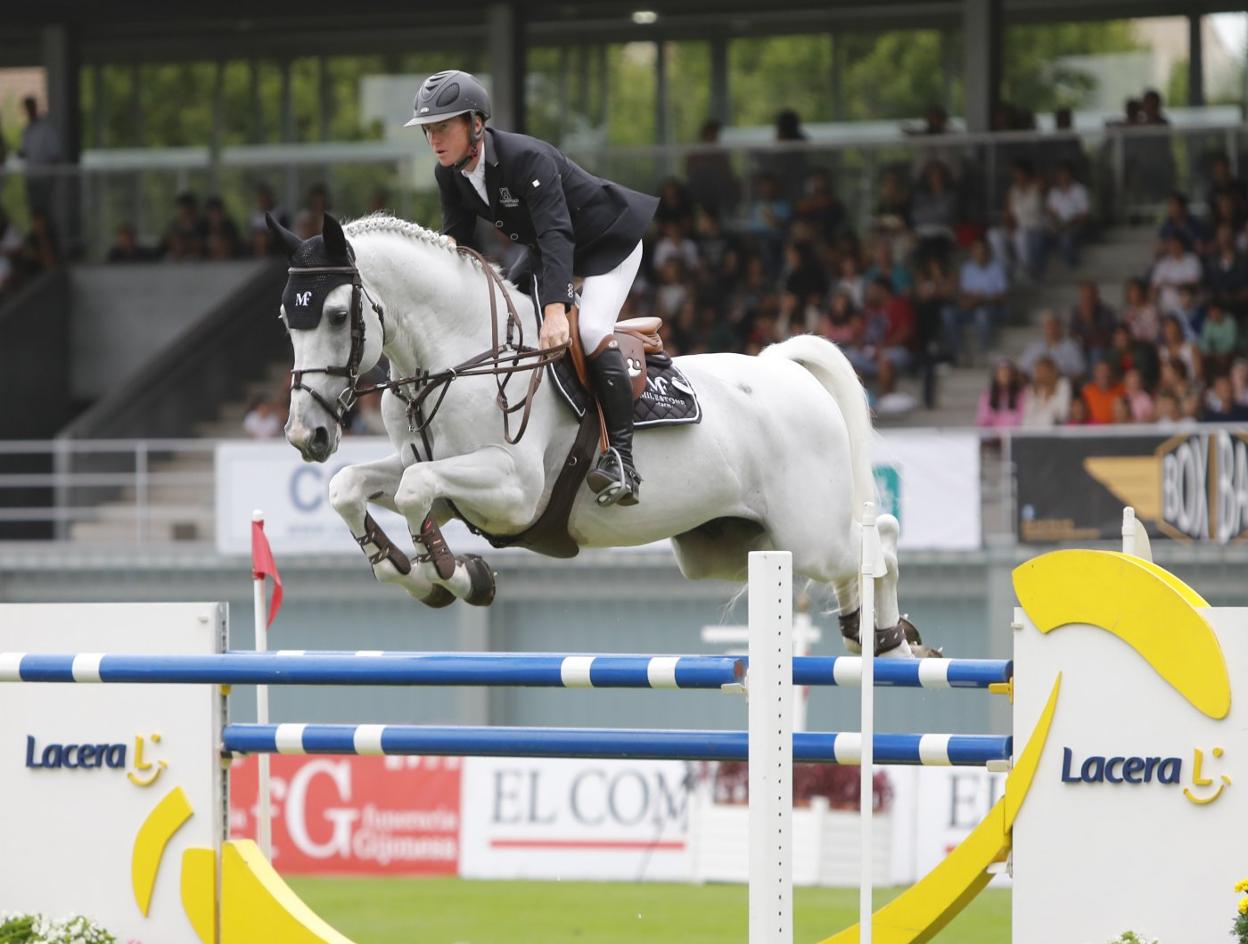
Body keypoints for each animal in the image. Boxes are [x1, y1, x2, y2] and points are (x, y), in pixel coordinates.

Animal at [273, 213, 918, 654]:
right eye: (286, 318)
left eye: (336, 316)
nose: (308, 436)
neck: (461, 358)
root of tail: (787, 369)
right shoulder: (439, 479)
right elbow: (352, 487)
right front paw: (409, 572)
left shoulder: (513, 491)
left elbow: (413, 491)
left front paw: (456, 575)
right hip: (735, 546)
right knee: (851, 563)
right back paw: (864, 634)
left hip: (808, 533)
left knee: (878, 539)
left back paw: (890, 638)